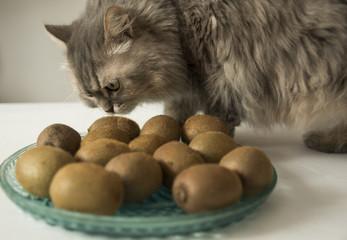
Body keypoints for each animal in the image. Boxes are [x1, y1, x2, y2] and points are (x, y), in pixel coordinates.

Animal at [45, 0, 347, 153]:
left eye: (113, 86)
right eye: (90, 94)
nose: (108, 109)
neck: (177, 19)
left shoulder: (221, 81)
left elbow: (214, 123)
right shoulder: (190, 88)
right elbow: (173, 116)